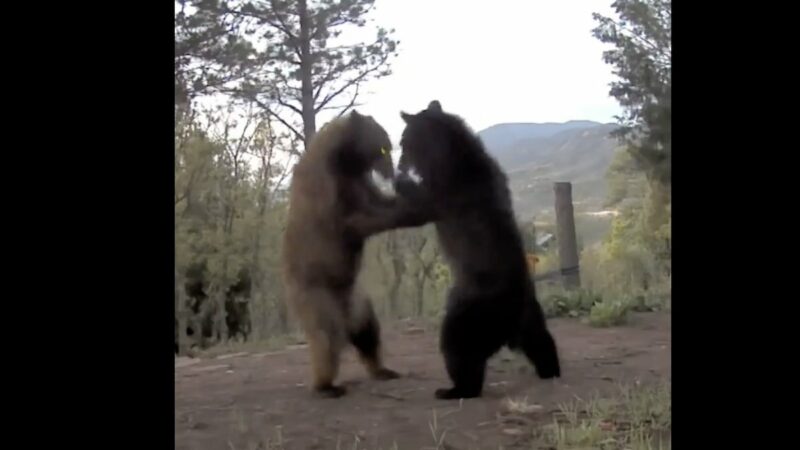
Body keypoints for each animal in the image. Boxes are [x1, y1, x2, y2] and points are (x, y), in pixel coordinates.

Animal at [396, 100, 564, 400]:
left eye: (404, 141)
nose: (401, 163)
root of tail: (511, 319)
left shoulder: (442, 192)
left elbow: (422, 199)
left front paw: (399, 182)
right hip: (531, 317)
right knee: (542, 341)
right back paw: (551, 372)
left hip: (468, 318)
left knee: (461, 355)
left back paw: (452, 390)